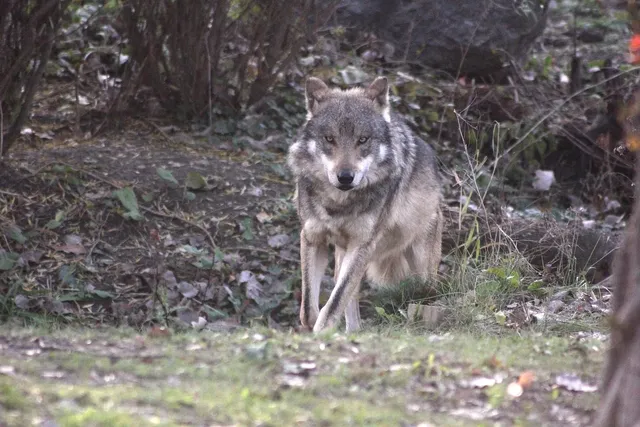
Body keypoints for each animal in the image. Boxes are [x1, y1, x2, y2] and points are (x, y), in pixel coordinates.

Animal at [287, 76, 443, 333]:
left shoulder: (362, 245)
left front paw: (321, 332)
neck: (338, 203)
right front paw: (312, 329)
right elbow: (309, 307)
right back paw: (352, 332)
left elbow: (334, 302)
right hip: (344, 257)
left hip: (420, 272)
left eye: (363, 140)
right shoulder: (312, 237)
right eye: (329, 139)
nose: (345, 177)